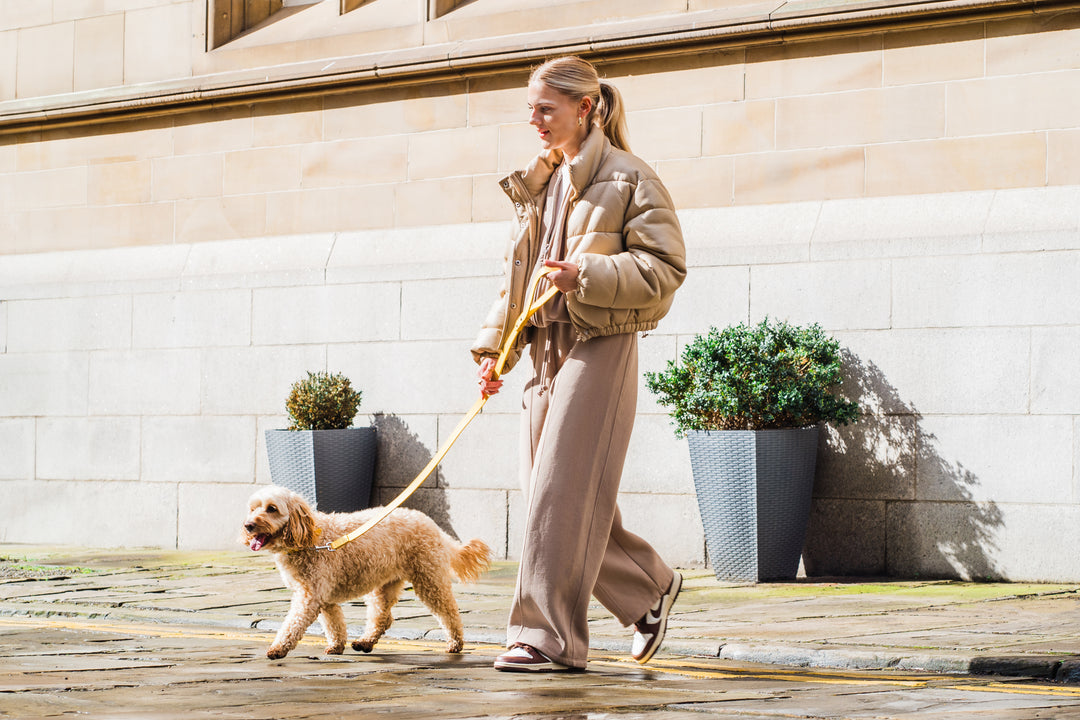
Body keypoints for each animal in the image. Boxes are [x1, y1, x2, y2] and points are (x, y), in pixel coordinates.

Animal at [241, 487, 490, 660]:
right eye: (252, 508)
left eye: (272, 509)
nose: (248, 525)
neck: (311, 540)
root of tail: (432, 525)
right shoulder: (323, 597)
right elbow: (334, 623)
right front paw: (336, 646)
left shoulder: (309, 597)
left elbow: (293, 624)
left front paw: (278, 649)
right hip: (385, 583)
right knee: (382, 617)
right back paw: (366, 642)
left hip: (429, 578)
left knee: (449, 612)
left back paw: (455, 643)